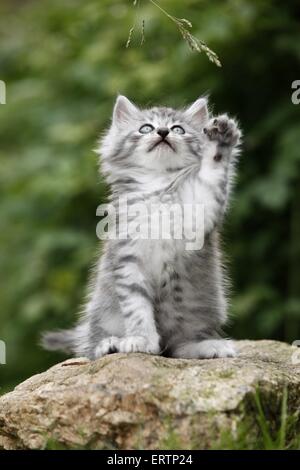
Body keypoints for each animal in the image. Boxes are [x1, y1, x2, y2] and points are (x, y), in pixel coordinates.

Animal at [42, 95, 241, 360]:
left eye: (178, 129)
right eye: (146, 128)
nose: (163, 131)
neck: (159, 186)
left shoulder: (200, 211)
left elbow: (213, 171)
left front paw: (221, 139)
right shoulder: (127, 259)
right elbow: (137, 308)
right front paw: (141, 340)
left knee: (180, 347)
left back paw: (210, 346)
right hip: (101, 313)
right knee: (90, 348)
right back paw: (110, 344)